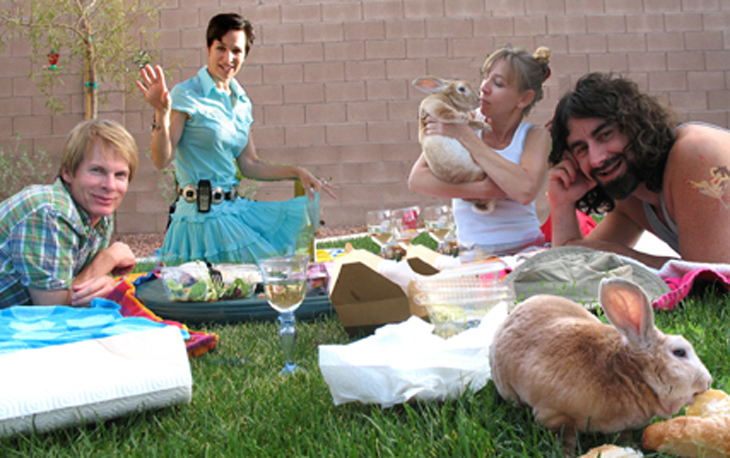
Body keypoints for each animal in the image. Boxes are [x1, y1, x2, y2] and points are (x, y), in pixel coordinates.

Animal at [490, 276, 712, 454]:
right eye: (680, 352)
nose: (708, 382)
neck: (631, 373)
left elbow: (623, 435)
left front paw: (631, 446)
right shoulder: (553, 414)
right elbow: (566, 437)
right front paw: (567, 454)